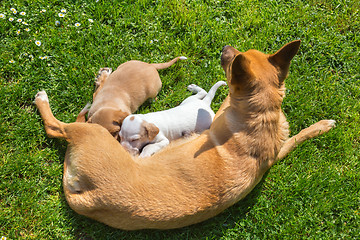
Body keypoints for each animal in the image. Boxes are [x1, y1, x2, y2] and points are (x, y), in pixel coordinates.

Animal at [35, 40, 336, 230]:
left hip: (91, 131)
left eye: (233, 60)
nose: (225, 47)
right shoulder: (278, 150)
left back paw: (46, 99)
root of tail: (88, 196)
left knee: (58, 126)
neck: (262, 115)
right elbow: (298, 136)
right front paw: (323, 125)